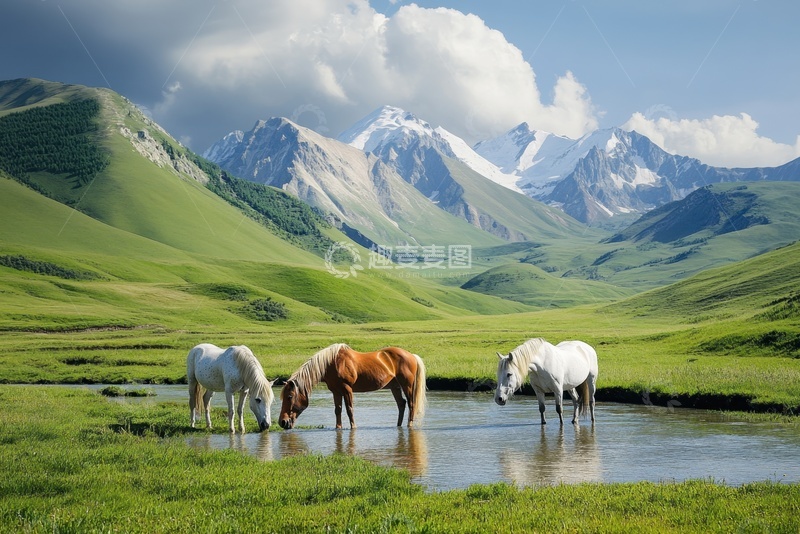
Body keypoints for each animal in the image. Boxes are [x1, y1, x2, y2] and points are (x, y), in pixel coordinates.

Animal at [278, 343, 427, 430]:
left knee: (411, 404)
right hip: (395, 387)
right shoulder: (336, 392)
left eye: (289, 396)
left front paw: (353, 427)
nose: (282, 422)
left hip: (407, 385)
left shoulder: (347, 389)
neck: (331, 363)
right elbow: (338, 410)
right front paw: (338, 427)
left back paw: (409, 424)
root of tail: (411, 355)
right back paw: (398, 425)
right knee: (401, 404)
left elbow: (349, 409)